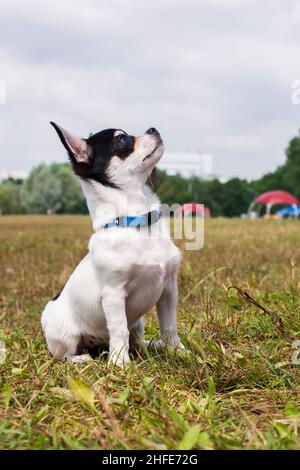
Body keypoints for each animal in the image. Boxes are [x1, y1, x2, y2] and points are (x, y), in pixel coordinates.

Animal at [41, 125, 184, 368]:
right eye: (123, 139)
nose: (153, 128)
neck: (137, 222)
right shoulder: (113, 294)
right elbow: (118, 329)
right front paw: (120, 363)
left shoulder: (168, 289)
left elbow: (169, 326)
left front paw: (179, 352)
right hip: (65, 334)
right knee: (66, 354)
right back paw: (82, 358)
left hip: (138, 322)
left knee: (138, 340)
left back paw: (153, 345)